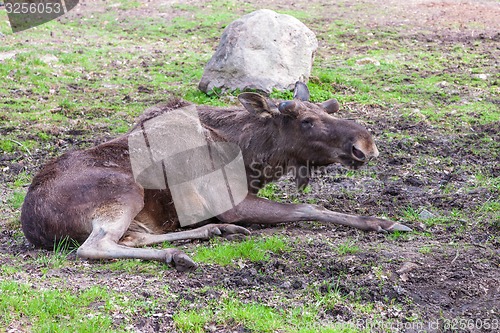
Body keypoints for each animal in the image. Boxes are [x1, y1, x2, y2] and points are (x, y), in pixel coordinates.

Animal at [20, 81, 410, 272]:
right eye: (306, 120)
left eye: (328, 109)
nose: (365, 145)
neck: (249, 156)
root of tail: (32, 224)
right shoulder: (230, 202)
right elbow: (308, 208)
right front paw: (385, 222)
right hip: (124, 191)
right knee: (94, 246)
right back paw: (179, 255)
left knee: (130, 238)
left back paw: (211, 233)